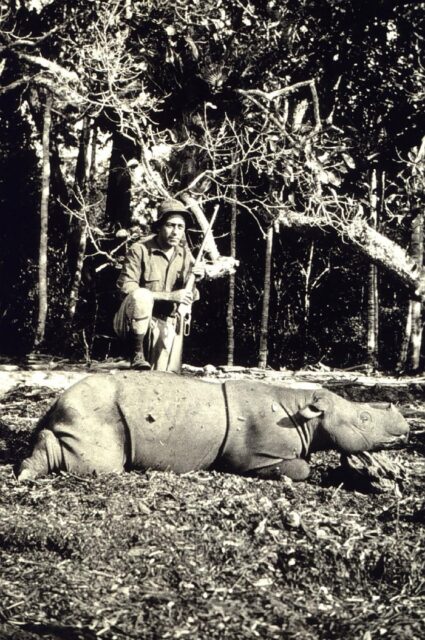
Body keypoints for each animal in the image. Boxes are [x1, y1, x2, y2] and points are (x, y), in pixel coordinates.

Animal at [17, 372, 409, 482]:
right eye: (364, 420)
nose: (405, 430)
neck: (306, 413)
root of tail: (55, 401)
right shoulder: (257, 456)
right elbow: (300, 468)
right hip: (96, 413)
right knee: (103, 465)